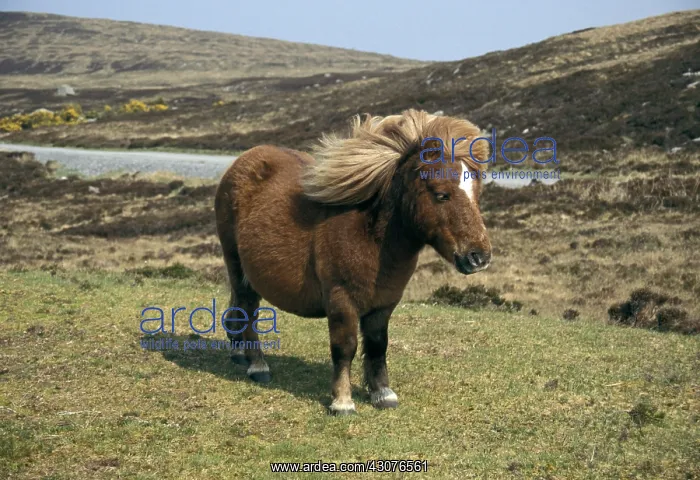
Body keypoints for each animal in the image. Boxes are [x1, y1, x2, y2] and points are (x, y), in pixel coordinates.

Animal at [214, 109, 492, 415]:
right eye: (441, 194)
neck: (369, 236)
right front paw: (342, 401)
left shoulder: (383, 304)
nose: (479, 257)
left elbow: (377, 345)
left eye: (476, 194)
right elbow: (344, 347)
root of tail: (241, 163)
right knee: (248, 310)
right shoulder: (341, 301)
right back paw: (257, 365)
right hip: (237, 267)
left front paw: (383, 393)